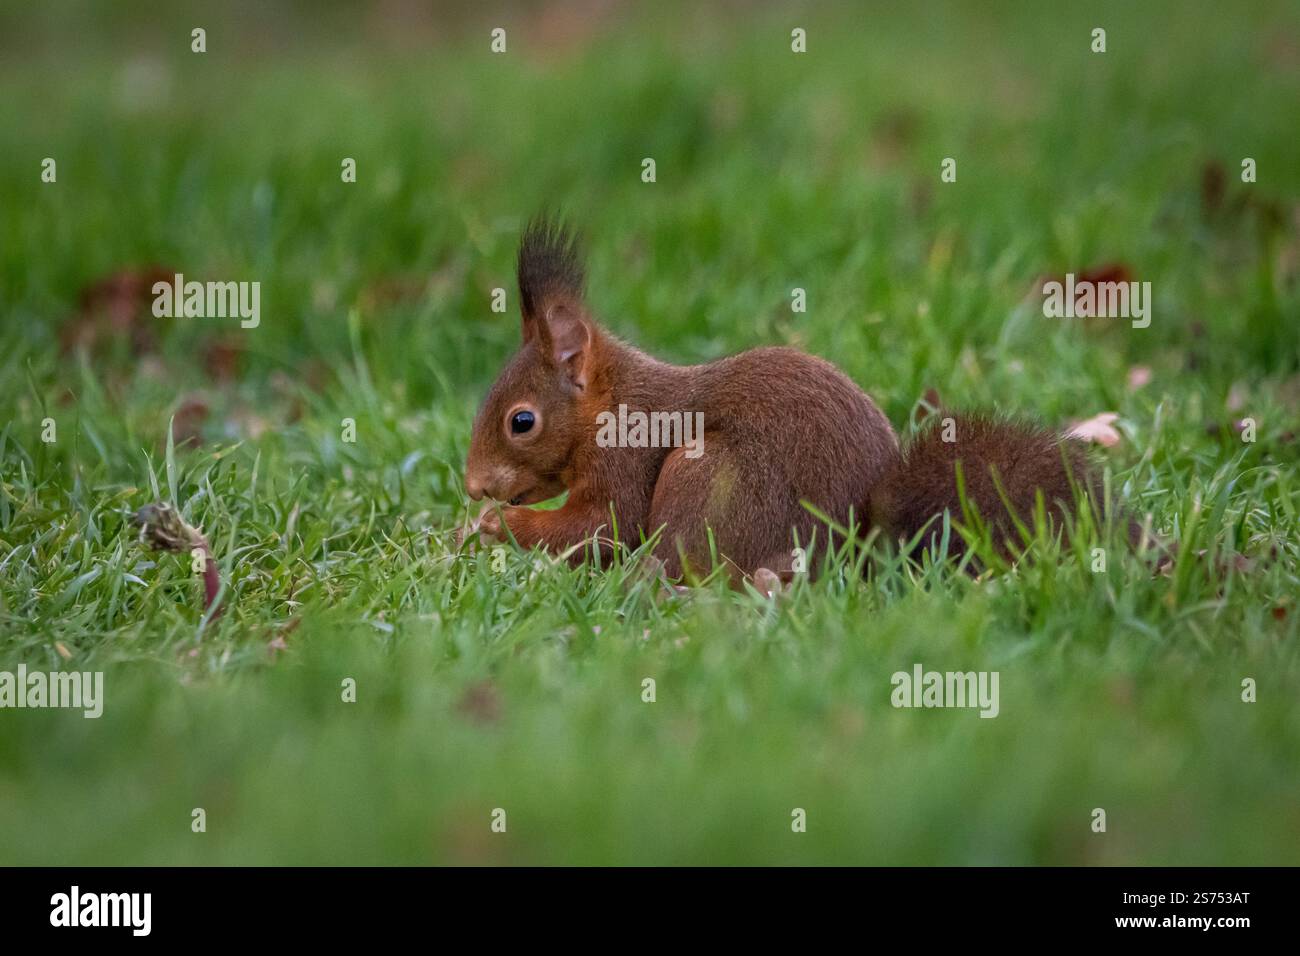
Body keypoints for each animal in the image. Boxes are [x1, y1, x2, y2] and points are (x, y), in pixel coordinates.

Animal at [463, 218, 1114, 585]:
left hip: (707, 474)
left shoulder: (626, 457)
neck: (608, 404)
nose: (472, 486)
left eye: (522, 421)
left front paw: (493, 525)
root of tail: (859, 542)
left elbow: (602, 524)